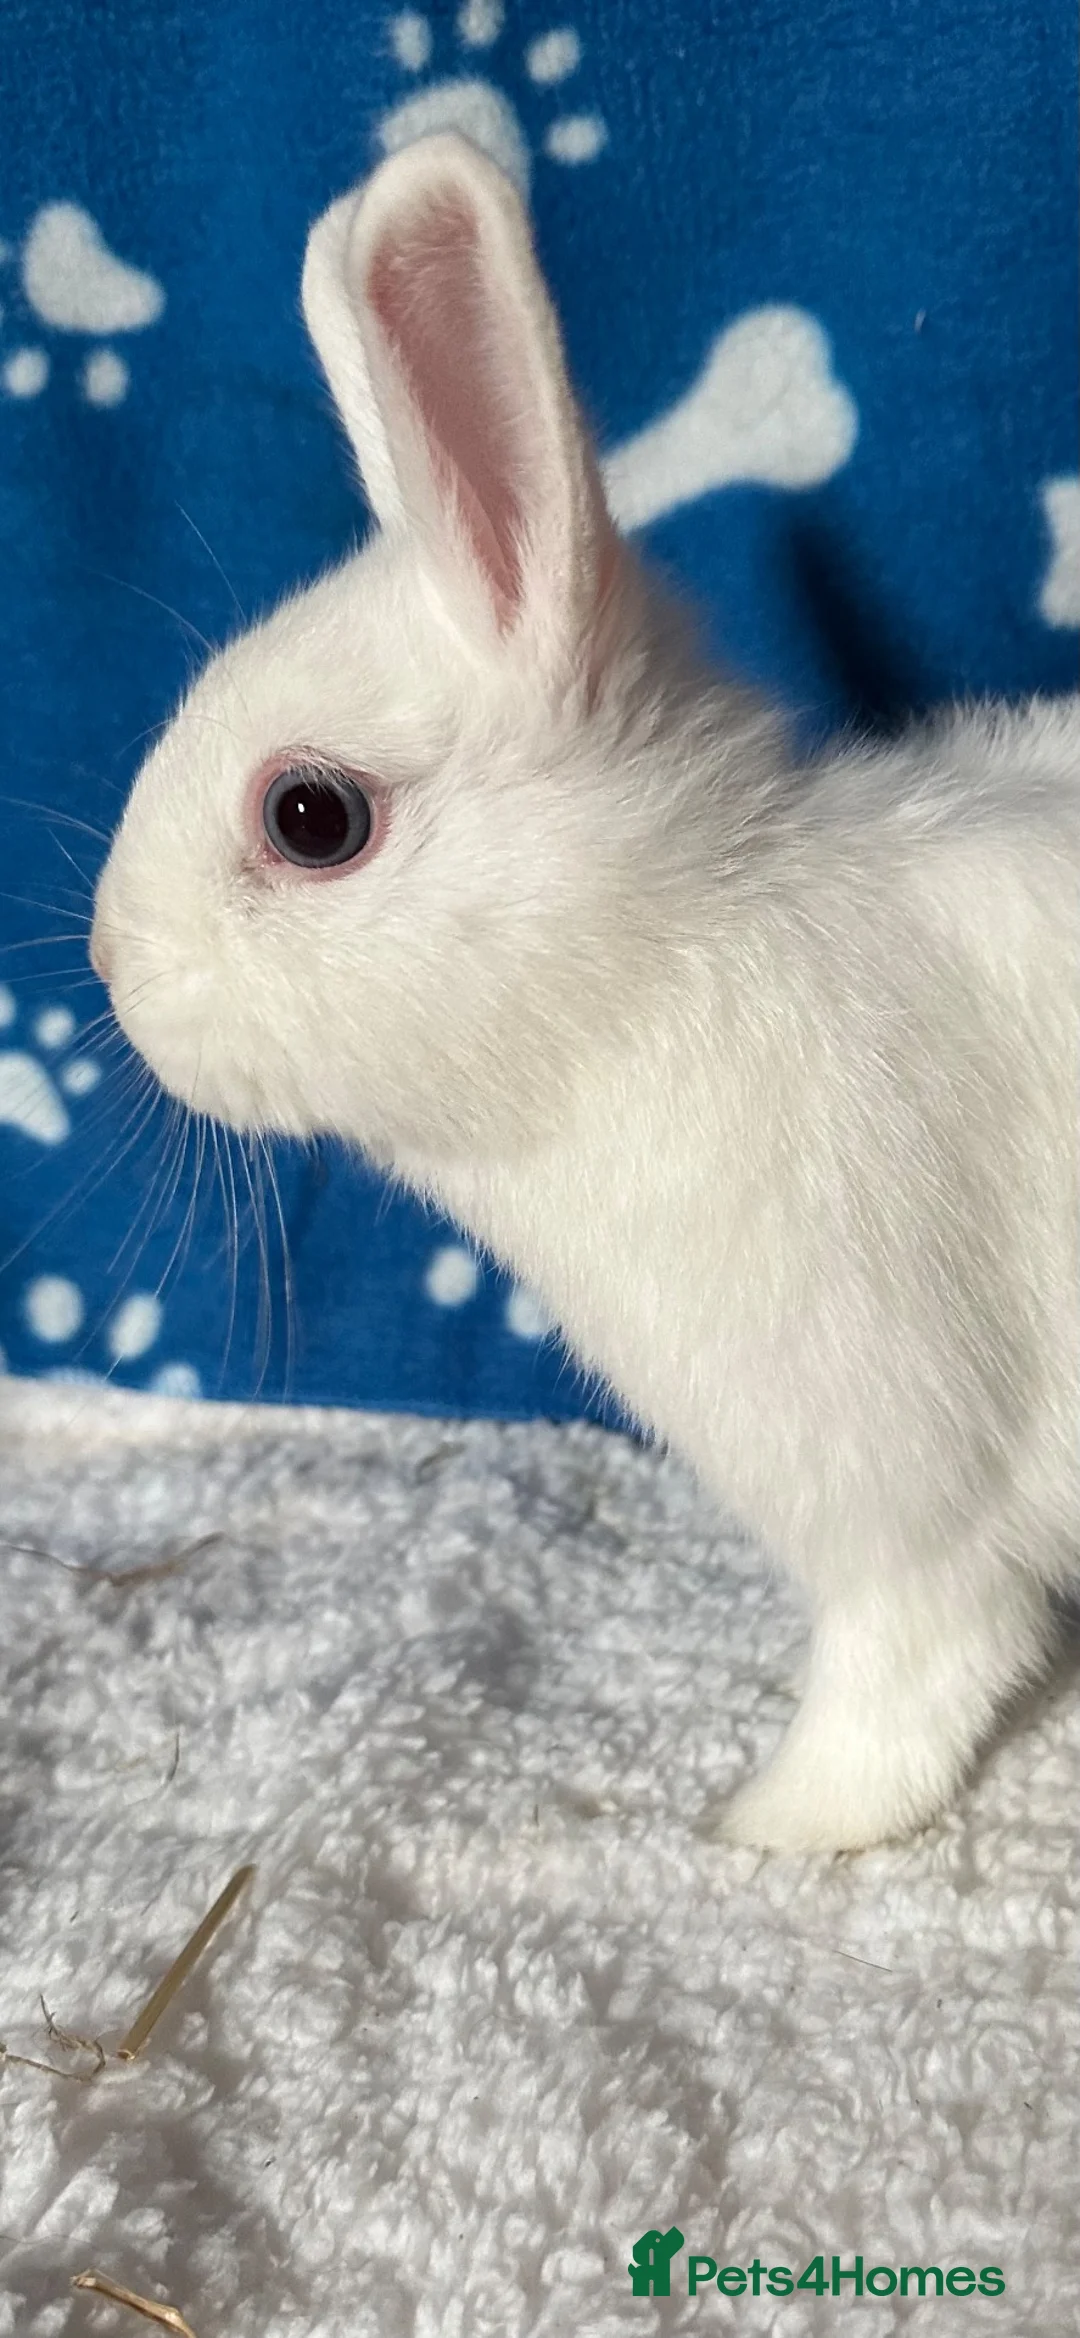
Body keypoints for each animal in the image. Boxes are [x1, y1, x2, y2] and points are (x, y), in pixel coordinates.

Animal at [90, 132, 1080, 1853]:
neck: (661, 961)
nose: (107, 967)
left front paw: (763, 1823)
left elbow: (916, 1673)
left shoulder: (903, 1491)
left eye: (311, 817)